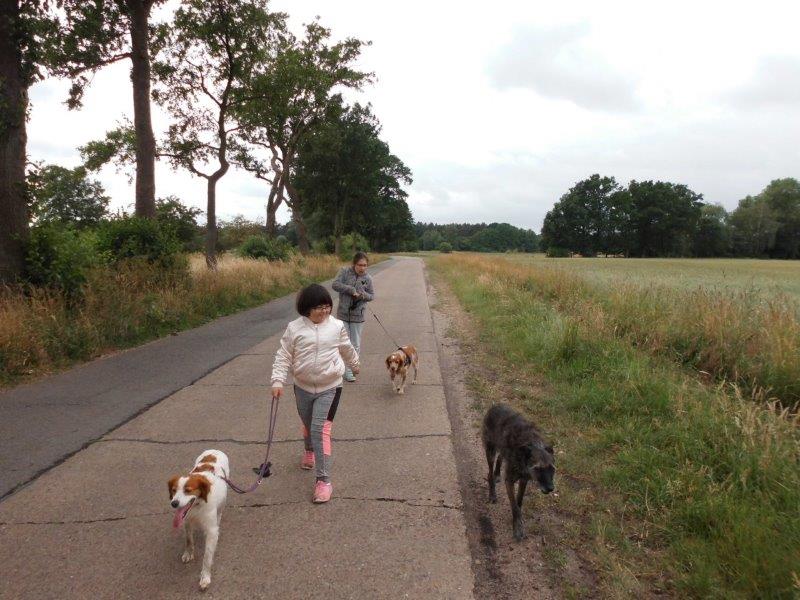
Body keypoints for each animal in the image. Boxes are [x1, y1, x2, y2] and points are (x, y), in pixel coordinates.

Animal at [168, 449, 229, 590]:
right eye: (173, 490)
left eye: (188, 490)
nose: (174, 503)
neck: (197, 506)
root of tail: (214, 450)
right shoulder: (187, 522)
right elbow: (188, 540)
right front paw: (188, 553)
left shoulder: (211, 530)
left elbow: (207, 557)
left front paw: (205, 577)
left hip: (223, 502)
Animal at [481, 404, 555, 541]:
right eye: (538, 468)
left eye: (552, 468)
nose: (550, 488)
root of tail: (495, 406)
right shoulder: (510, 481)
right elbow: (515, 506)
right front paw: (517, 528)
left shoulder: (523, 480)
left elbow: (519, 501)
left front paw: (519, 520)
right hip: (490, 450)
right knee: (490, 473)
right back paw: (492, 493)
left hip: (501, 449)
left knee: (500, 458)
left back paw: (497, 473)